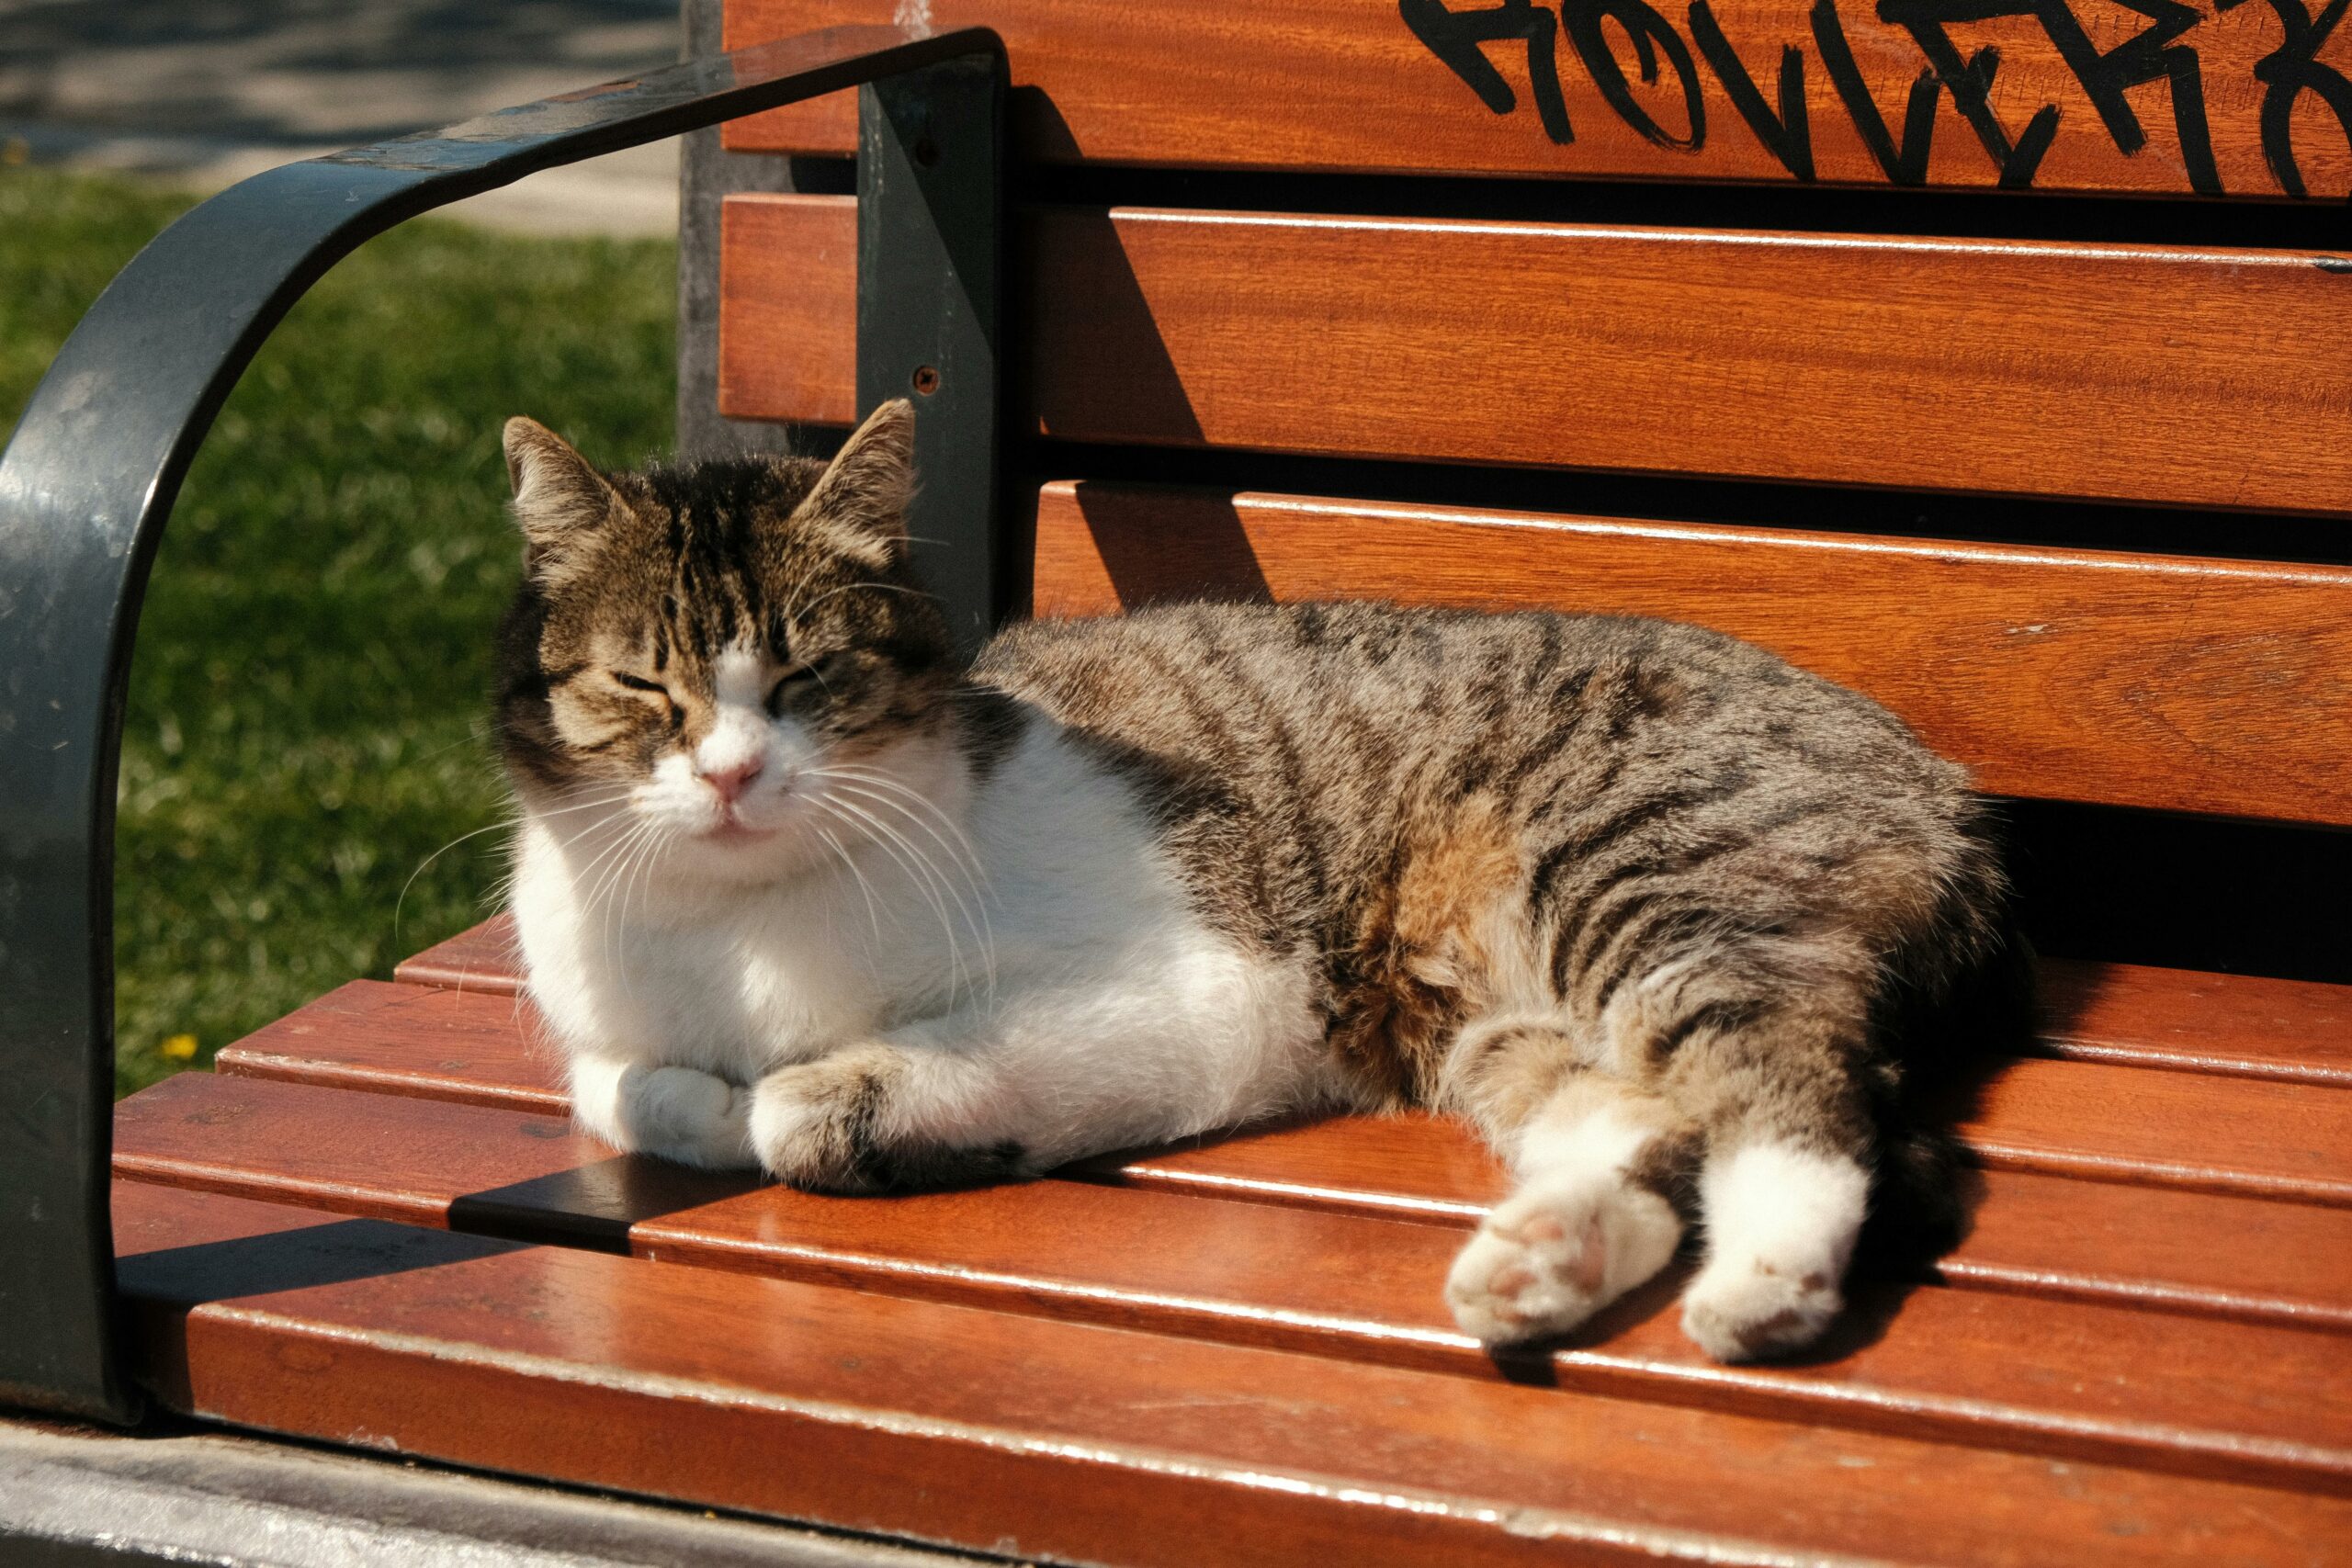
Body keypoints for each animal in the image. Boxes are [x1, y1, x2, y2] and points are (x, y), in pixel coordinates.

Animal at [492, 401, 2022, 1363]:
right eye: (643, 684)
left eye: (808, 674)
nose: (732, 774)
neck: (735, 932)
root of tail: (1944, 777)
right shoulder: (600, 1033)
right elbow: (633, 1088)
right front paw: (707, 1096)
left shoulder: (1216, 996)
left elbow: (800, 1109)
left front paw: (813, 1105)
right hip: (1498, 1023)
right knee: (1650, 1119)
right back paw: (1540, 1262)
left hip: (1650, 881)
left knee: (1787, 1084)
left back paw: (1766, 1282)